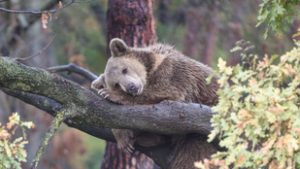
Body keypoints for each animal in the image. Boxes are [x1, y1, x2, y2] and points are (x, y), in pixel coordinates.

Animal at [91, 38, 218, 169]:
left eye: (124, 69)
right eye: (116, 84)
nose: (131, 88)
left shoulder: (174, 73)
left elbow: (163, 92)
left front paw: (109, 94)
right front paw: (124, 139)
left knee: (193, 153)